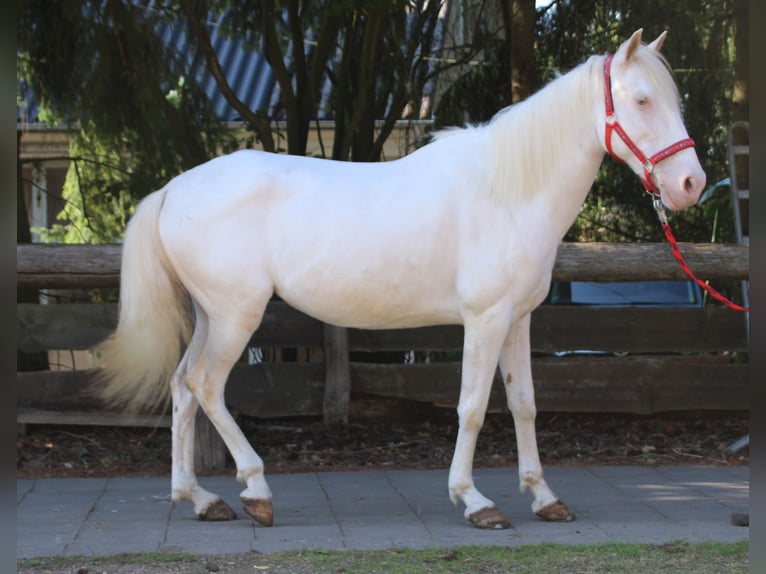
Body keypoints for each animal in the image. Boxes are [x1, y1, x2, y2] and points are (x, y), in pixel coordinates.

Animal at [99, 29, 704, 528]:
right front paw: (474, 501)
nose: (691, 184)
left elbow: (524, 404)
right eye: (642, 99)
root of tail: (173, 188)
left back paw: (200, 499)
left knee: (182, 386)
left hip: (210, 315)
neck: (507, 189)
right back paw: (256, 491)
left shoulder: (518, 320)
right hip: (235, 316)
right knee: (206, 386)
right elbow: (473, 407)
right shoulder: (485, 320)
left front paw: (543, 496)